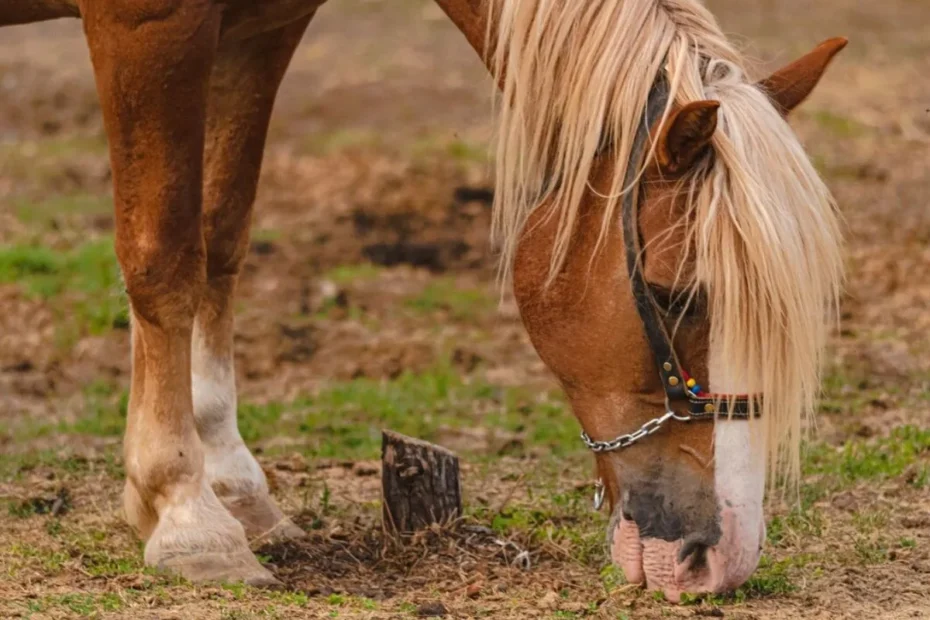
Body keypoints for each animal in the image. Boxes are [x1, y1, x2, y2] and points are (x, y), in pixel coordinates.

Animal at [1, 0, 840, 604]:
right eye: (676, 296)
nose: (720, 558)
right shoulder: (147, 22)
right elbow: (165, 256)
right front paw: (184, 513)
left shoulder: (258, 28)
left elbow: (220, 238)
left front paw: (232, 485)